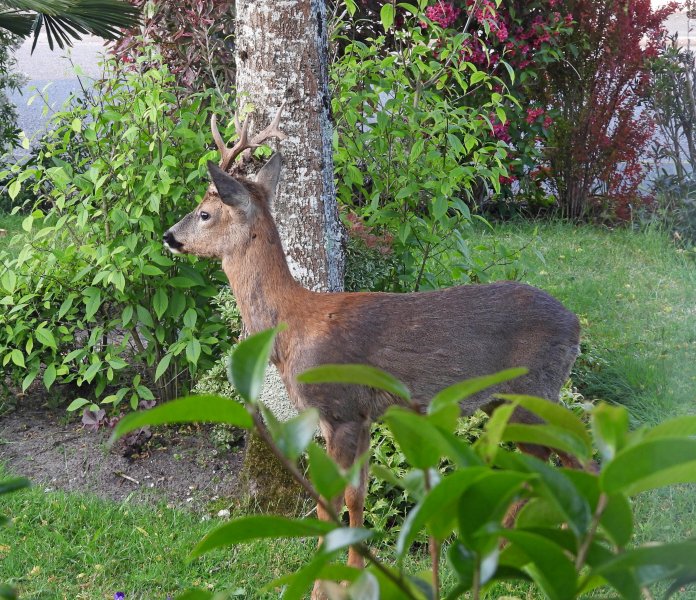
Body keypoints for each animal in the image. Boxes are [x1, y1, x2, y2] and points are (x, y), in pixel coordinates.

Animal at [163, 108, 581, 593]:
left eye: (205, 212)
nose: (169, 235)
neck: (292, 325)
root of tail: (576, 325)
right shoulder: (362, 417)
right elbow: (356, 498)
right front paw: (355, 571)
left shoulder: (339, 408)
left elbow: (333, 499)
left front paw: (327, 581)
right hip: (508, 399)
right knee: (540, 461)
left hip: (535, 389)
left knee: (574, 456)